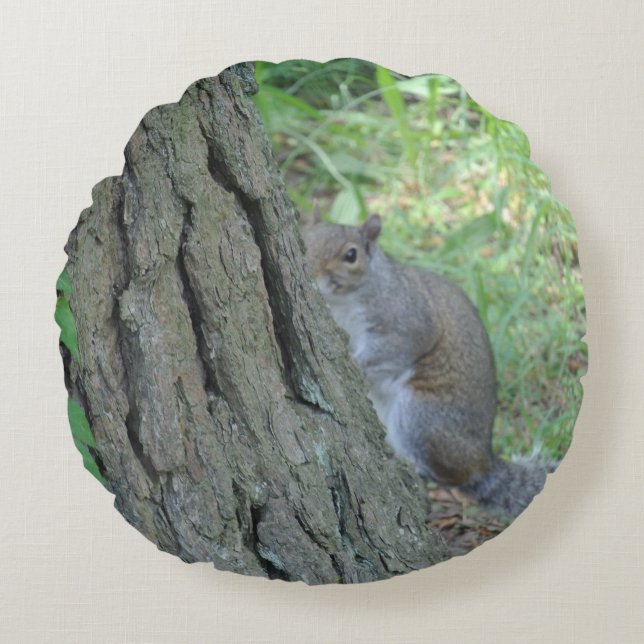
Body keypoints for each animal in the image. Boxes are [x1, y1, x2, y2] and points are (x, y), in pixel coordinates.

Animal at [302, 213, 548, 519]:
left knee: (449, 475)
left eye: (351, 255)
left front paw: (356, 363)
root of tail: (483, 462)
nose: (311, 272)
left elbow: (397, 347)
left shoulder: (406, 319)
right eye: (303, 237)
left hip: (420, 415)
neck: (344, 302)